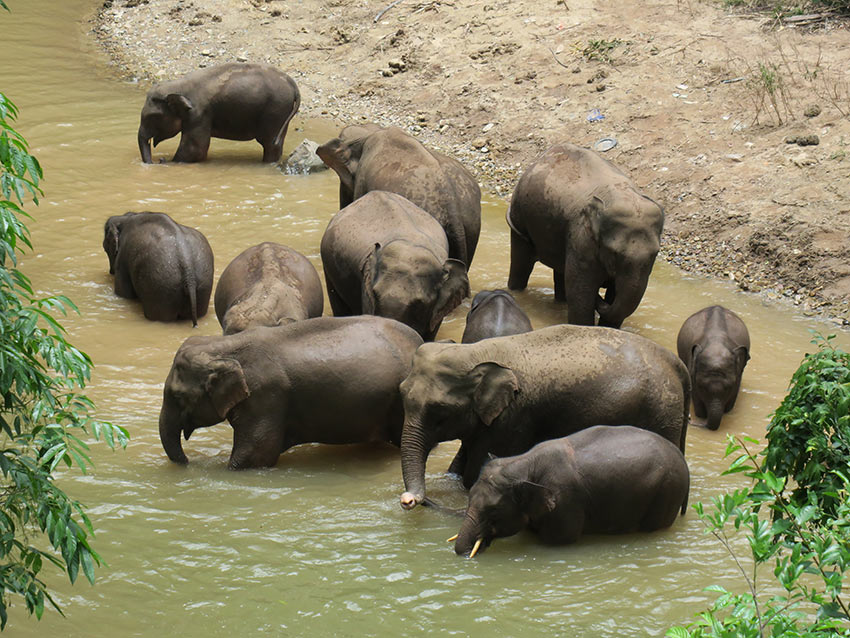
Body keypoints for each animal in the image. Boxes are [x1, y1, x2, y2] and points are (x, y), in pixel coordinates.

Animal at [138, 63, 300, 163]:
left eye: (152, 117)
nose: (157, 160)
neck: (178, 85)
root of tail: (293, 84)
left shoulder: (199, 114)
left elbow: (195, 149)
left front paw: (168, 162)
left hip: (275, 110)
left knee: (270, 144)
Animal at [158, 316, 423, 469]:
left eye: (178, 396)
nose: (188, 462)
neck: (223, 347)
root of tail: (420, 341)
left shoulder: (266, 398)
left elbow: (253, 456)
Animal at [398, 323, 690, 510]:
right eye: (400, 391)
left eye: (439, 412)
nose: (408, 500)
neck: (477, 352)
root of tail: (676, 364)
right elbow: (460, 464)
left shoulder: (513, 418)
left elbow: (473, 474)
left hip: (661, 412)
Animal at [453, 426, 690, 557]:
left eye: (493, 511)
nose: (466, 554)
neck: (525, 462)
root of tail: (682, 460)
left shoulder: (566, 504)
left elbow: (559, 541)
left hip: (667, 492)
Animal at [507, 143, 664, 329]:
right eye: (614, 253)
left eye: (655, 254)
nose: (599, 298)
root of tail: (543, 156)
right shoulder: (581, 238)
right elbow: (581, 291)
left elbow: (614, 294)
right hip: (519, 219)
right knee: (522, 263)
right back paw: (516, 292)